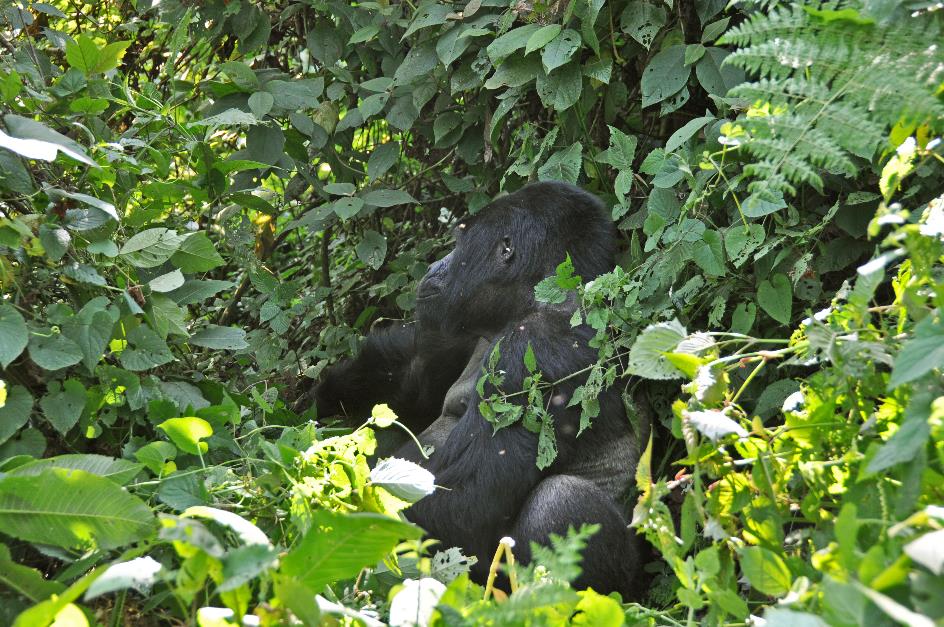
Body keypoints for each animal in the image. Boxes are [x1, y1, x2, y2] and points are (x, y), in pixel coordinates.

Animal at [314, 182, 644, 600]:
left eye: (460, 243)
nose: (436, 266)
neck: (536, 297)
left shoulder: (536, 351)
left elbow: (461, 503)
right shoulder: (466, 328)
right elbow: (413, 385)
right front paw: (331, 391)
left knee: (561, 501)